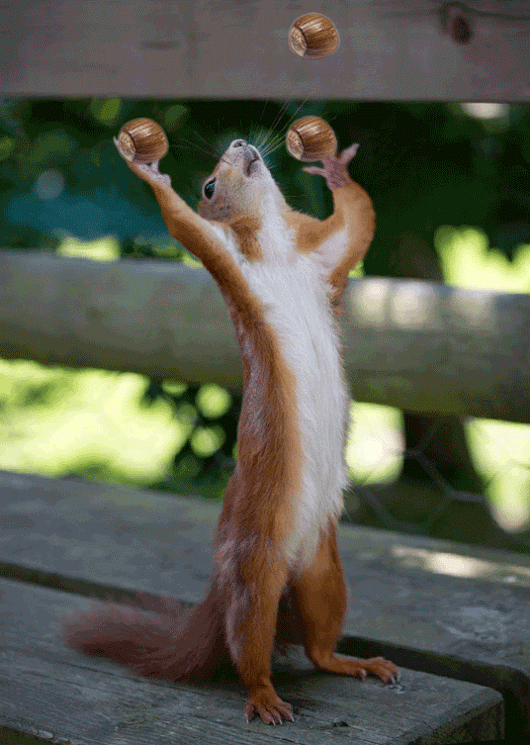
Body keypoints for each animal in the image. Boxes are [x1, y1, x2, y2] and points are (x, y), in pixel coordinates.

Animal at [62, 134, 399, 725]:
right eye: (209, 185)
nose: (241, 143)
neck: (278, 248)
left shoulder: (325, 255)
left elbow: (359, 222)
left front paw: (335, 169)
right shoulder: (226, 256)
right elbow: (184, 226)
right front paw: (149, 172)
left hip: (324, 571)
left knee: (318, 645)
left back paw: (352, 662)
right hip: (255, 574)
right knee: (249, 645)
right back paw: (264, 696)